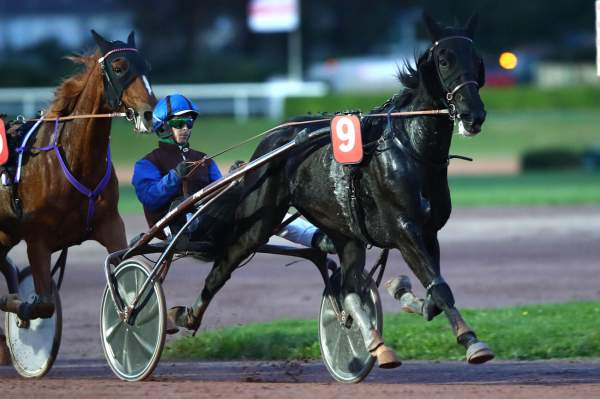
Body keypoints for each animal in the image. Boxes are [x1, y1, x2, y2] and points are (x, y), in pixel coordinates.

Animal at [0, 30, 157, 362]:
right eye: (119, 67)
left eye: (146, 66)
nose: (150, 113)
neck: (74, 160)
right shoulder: (37, 237)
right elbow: (43, 303)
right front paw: (20, 311)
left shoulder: (110, 224)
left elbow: (123, 272)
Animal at [173, 14, 492, 368]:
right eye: (444, 60)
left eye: (478, 60)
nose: (473, 115)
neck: (409, 147)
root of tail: (271, 141)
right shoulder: (403, 228)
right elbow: (439, 287)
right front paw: (472, 341)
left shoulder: (428, 230)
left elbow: (435, 292)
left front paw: (404, 292)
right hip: (259, 220)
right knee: (225, 263)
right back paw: (187, 315)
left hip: (343, 230)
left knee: (349, 288)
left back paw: (376, 344)